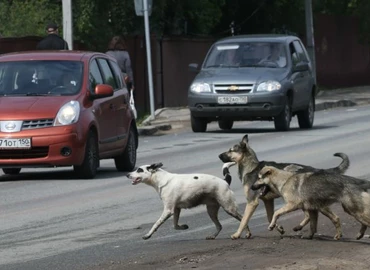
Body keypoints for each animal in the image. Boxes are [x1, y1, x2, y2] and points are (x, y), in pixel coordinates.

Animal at [220, 134, 350, 238]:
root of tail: (317, 170)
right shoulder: (268, 201)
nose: (219, 156)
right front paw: (277, 228)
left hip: (315, 203)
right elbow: (270, 216)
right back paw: (299, 227)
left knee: (331, 217)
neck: (251, 167)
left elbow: (244, 220)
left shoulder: (252, 202)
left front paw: (237, 234)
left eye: (231, 150)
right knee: (309, 215)